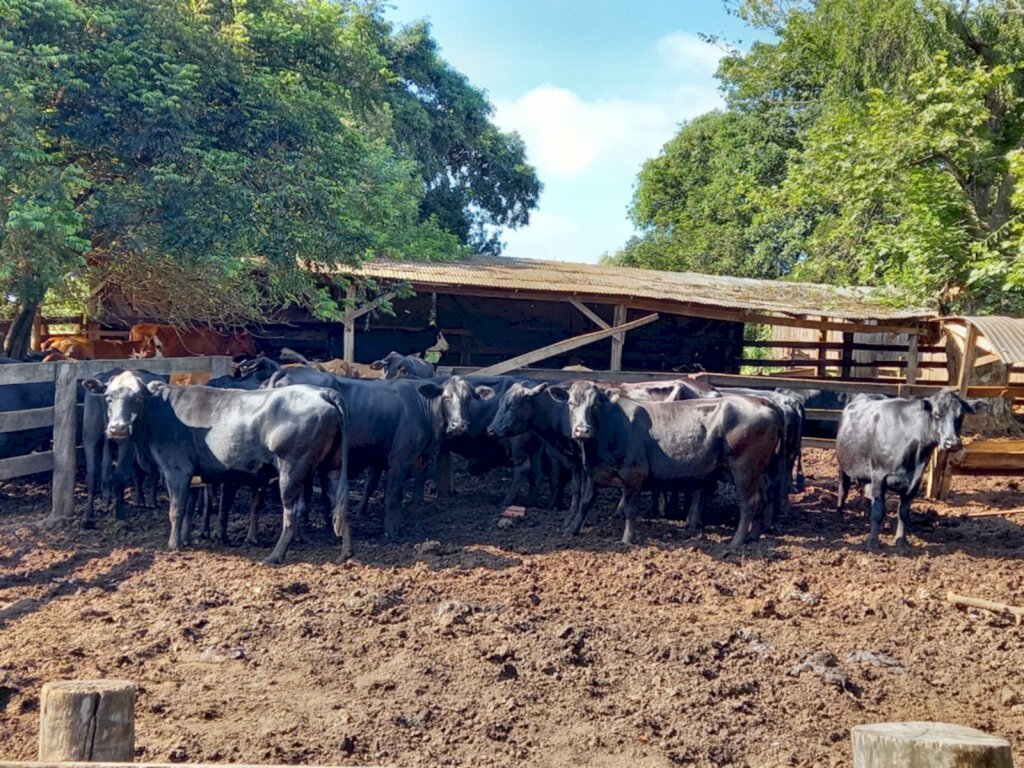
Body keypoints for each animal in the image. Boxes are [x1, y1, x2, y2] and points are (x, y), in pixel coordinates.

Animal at [835, 387, 987, 548]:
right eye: (937, 414)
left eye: (961, 415)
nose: (952, 443)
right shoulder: (879, 475)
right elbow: (878, 511)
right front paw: (872, 543)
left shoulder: (915, 480)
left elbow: (903, 513)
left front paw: (901, 542)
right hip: (843, 465)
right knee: (843, 489)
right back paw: (839, 515)